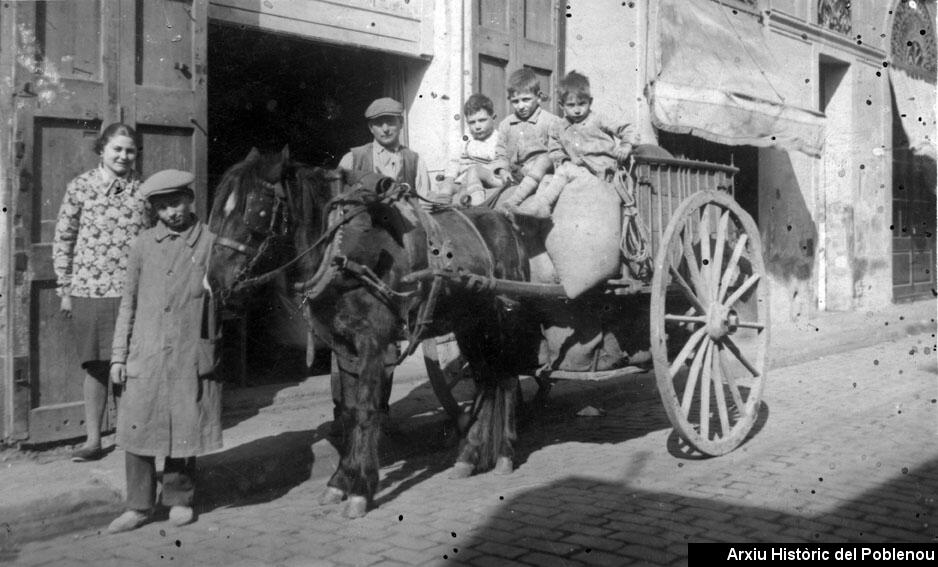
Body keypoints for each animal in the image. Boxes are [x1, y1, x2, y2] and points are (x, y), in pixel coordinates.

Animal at [207, 148, 536, 520]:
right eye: (218, 209)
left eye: (256, 211)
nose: (214, 281)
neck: (342, 251)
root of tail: (505, 221)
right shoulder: (343, 346)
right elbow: (350, 412)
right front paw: (340, 480)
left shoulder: (373, 342)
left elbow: (367, 409)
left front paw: (361, 488)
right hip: (470, 323)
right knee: (486, 379)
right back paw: (469, 455)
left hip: (503, 318)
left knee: (506, 378)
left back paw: (505, 452)